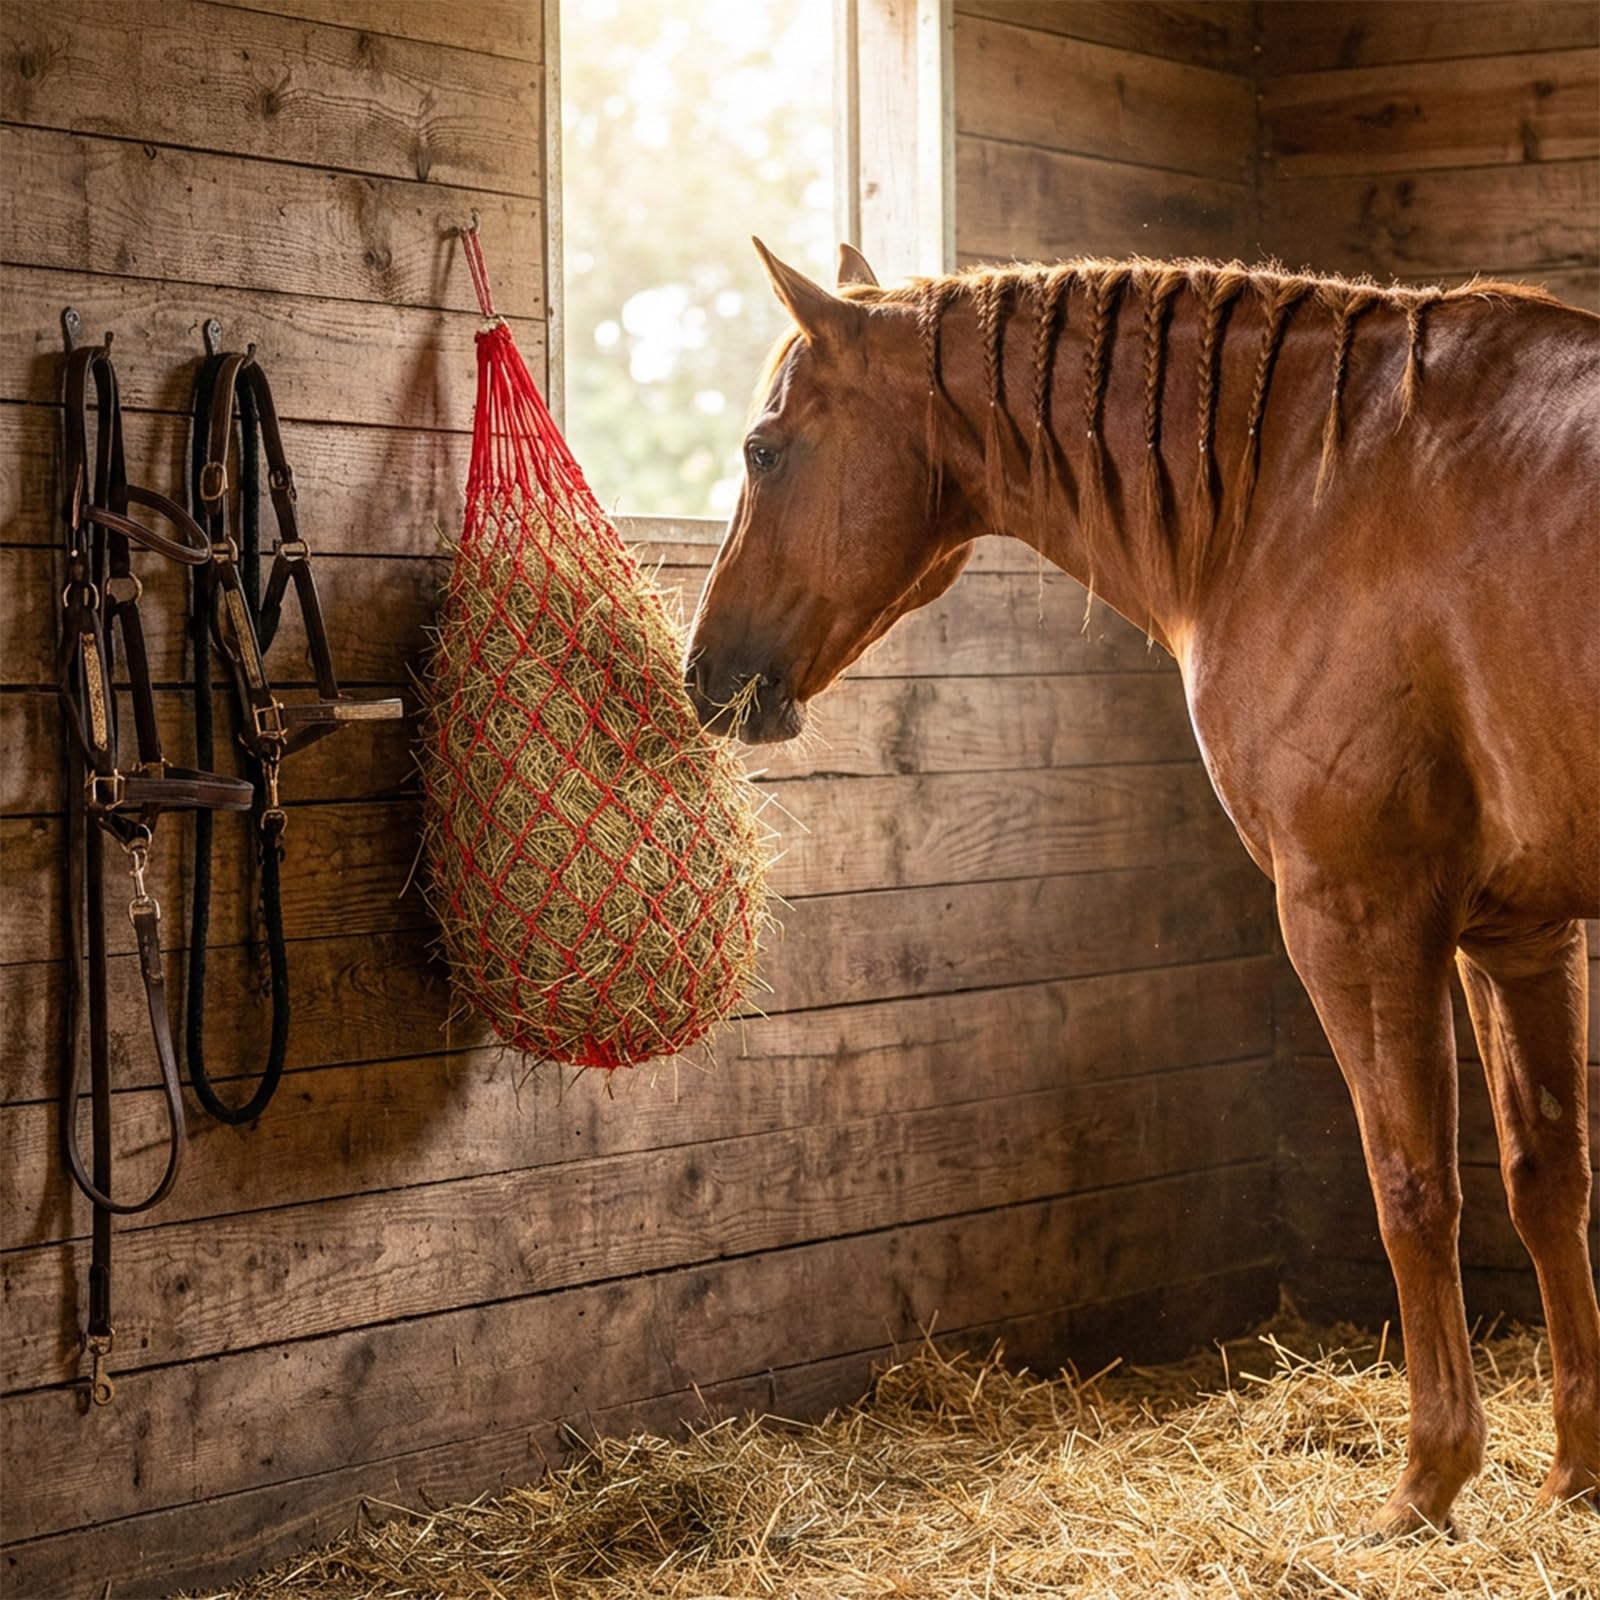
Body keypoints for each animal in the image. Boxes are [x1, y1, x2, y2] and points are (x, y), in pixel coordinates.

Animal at [683, 238, 1600, 1535]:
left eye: (764, 450)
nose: (704, 676)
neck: (1314, 487)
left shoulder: (1359, 917)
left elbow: (1412, 1186)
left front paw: (1426, 1481)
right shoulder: (1516, 931)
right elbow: (1543, 1181)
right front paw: (1574, 1472)